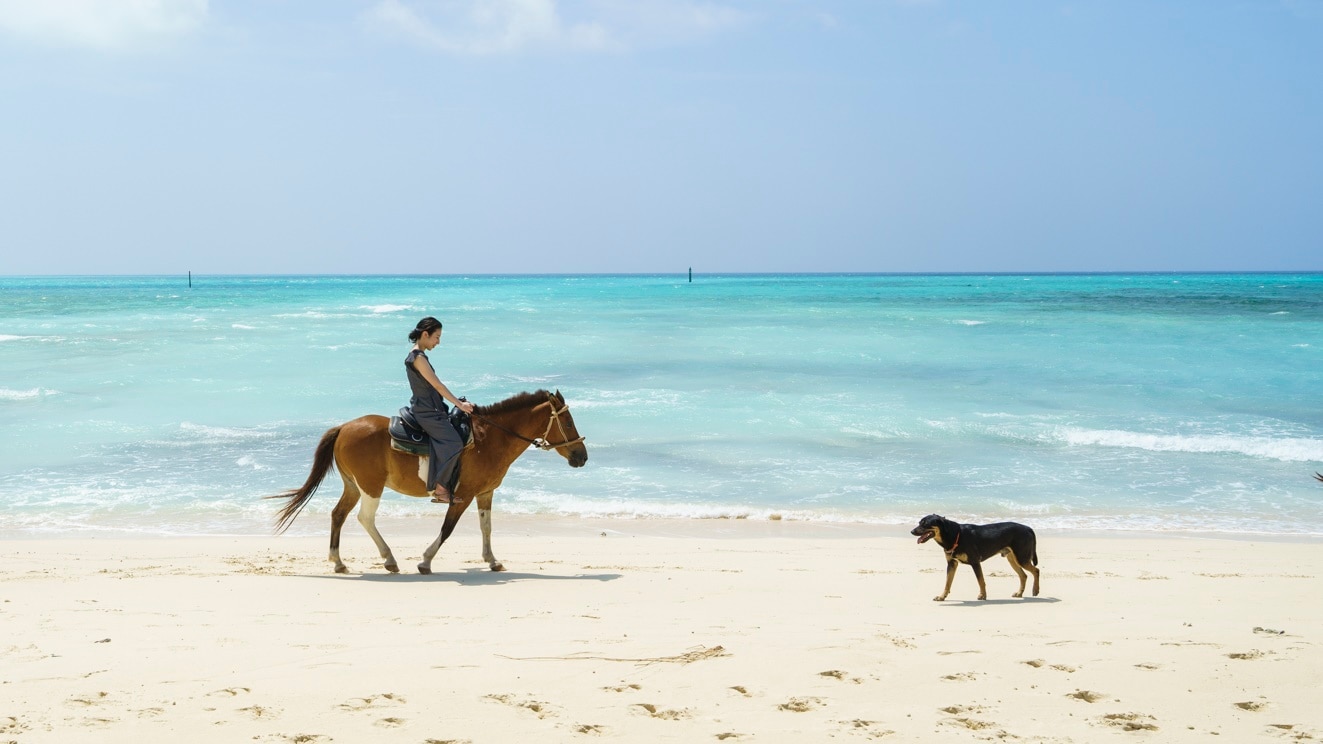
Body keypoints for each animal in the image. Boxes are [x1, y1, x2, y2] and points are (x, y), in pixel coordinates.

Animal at [267, 389, 587, 574]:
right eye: (568, 422)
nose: (582, 457)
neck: (490, 439)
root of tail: (344, 427)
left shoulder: (485, 493)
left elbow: (486, 527)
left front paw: (492, 560)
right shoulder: (463, 495)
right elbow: (447, 529)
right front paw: (425, 561)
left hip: (353, 486)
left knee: (339, 515)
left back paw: (339, 561)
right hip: (370, 487)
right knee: (364, 518)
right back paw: (389, 559)